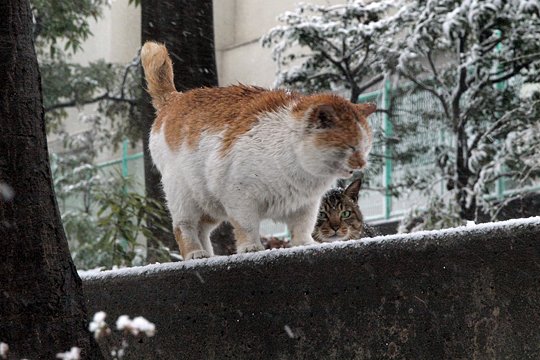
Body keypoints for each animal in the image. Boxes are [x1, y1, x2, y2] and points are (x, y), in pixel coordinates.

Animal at [139, 42, 376, 260]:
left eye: (365, 147)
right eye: (351, 147)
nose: (361, 164)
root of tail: (175, 98)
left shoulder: (306, 204)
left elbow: (302, 227)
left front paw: (304, 244)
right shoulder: (239, 197)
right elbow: (247, 227)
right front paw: (250, 247)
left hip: (209, 203)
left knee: (202, 228)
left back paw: (209, 254)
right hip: (183, 196)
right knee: (184, 227)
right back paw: (196, 253)